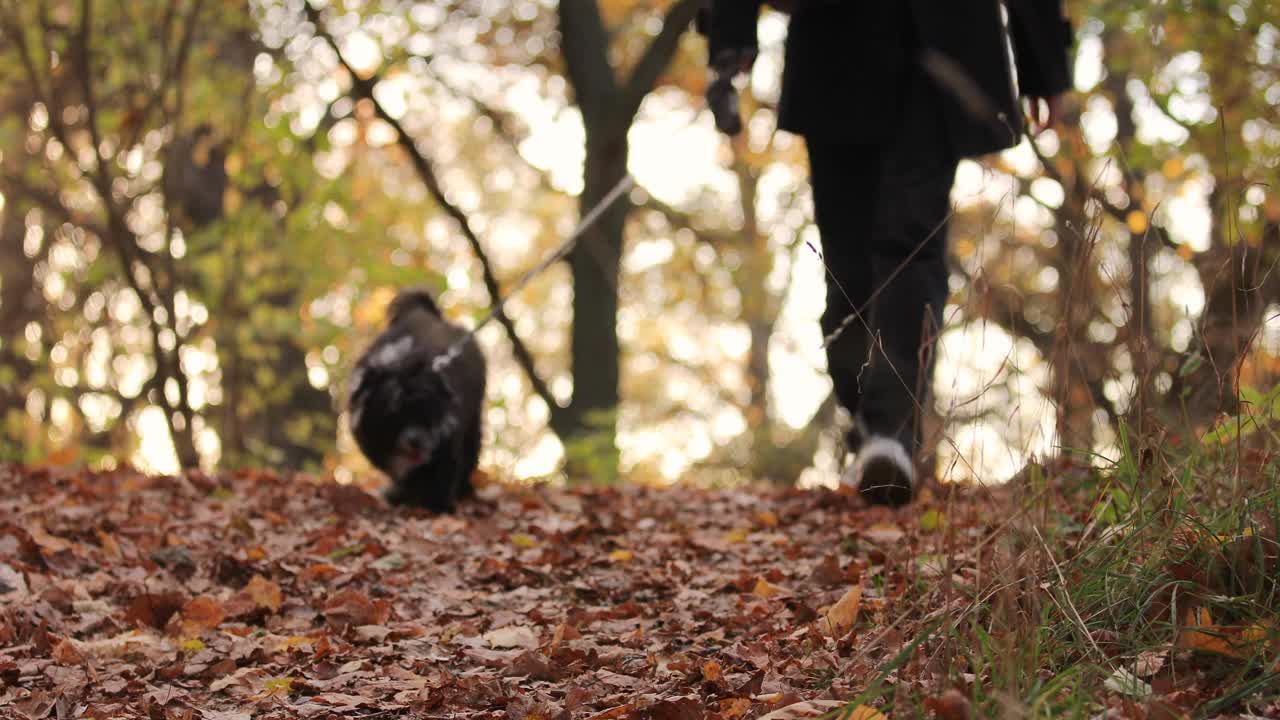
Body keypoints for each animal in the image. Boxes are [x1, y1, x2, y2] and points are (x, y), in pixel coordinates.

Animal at [348, 286, 486, 509]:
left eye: (428, 410)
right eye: (394, 412)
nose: (416, 441)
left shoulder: (448, 435)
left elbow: (443, 469)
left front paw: (439, 505)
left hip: (474, 420)